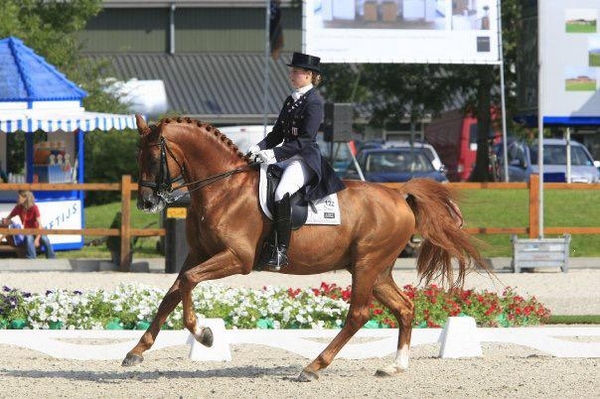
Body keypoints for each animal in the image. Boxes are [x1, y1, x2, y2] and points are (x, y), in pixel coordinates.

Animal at [125, 115, 488, 382]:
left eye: (154, 157)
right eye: (137, 156)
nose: (146, 203)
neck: (223, 187)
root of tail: (399, 195)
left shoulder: (237, 259)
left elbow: (187, 283)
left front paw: (204, 335)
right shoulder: (198, 254)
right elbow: (173, 291)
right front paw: (137, 351)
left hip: (367, 265)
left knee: (359, 315)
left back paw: (313, 367)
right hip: (377, 269)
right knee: (404, 308)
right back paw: (394, 366)